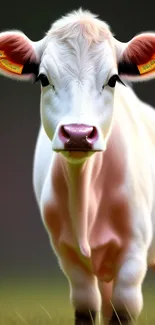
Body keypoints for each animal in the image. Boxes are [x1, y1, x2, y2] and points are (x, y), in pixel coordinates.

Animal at [0, 8, 155, 324]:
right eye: (44, 78)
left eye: (113, 79)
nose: (78, 133)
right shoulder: (66, 251)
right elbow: (86, 305)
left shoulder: (135, 251)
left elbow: (123, 309)